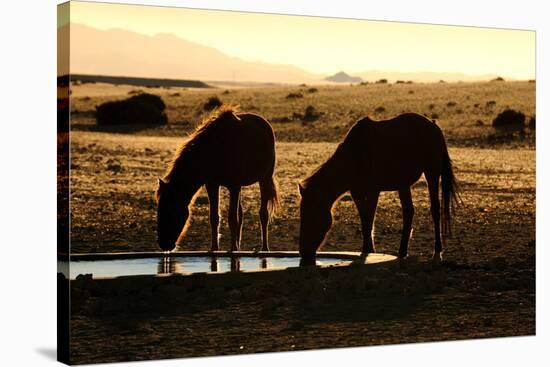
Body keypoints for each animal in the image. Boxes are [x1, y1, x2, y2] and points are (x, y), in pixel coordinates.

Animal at [157, 105, 282, 252]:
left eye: (170, 210)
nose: (164, 244)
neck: (215, 149)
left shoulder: (234, 186)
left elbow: (232, 219)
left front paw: (232, 249)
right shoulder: (212, 185)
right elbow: (214, 217)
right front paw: (214, 248)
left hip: (264, 179)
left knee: (263, 214)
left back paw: (264, 248)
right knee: (241, 215)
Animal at [300, 113, 460, 266]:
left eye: (312, 215)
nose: (304, 252)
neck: (355, 155)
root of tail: (433, 126)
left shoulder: (373, 191)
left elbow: (369, 220)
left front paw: (369, 253)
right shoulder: (357, 193)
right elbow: (365, 221)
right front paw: (368, 251)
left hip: (431, 172)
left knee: (435, 209)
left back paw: (437, 255)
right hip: (403, 184)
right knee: (409, 211)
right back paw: (402, 253)